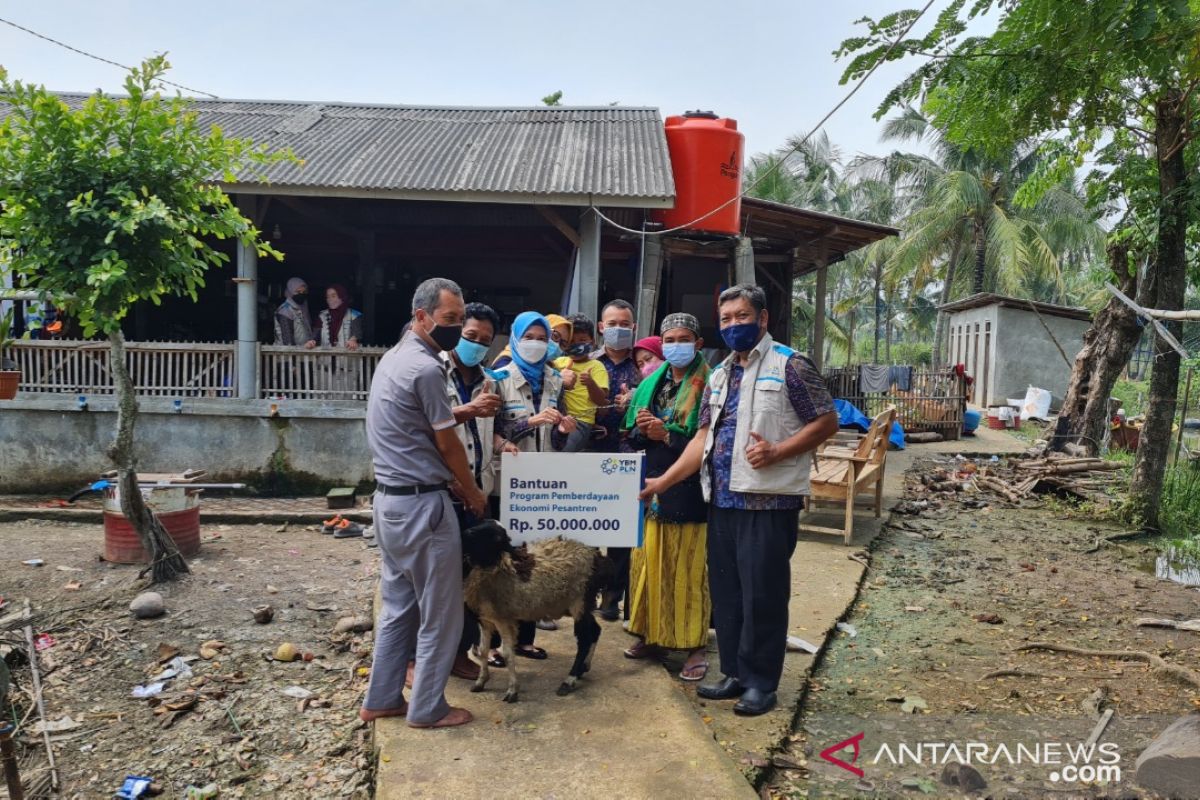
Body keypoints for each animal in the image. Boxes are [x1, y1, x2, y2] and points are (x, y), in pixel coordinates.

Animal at [456, 520, 609, 700]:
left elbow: (507, 653)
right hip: (580, 605)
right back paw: (584, 667)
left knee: (585, 639)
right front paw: (480, 682)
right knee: (596, 630)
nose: (464, 535)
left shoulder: (504, 619)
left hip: (580, 601)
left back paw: (569, 680)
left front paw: (512, 691)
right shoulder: (485, 619)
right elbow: (483, 650)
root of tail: (596, 556)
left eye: (498, 538)